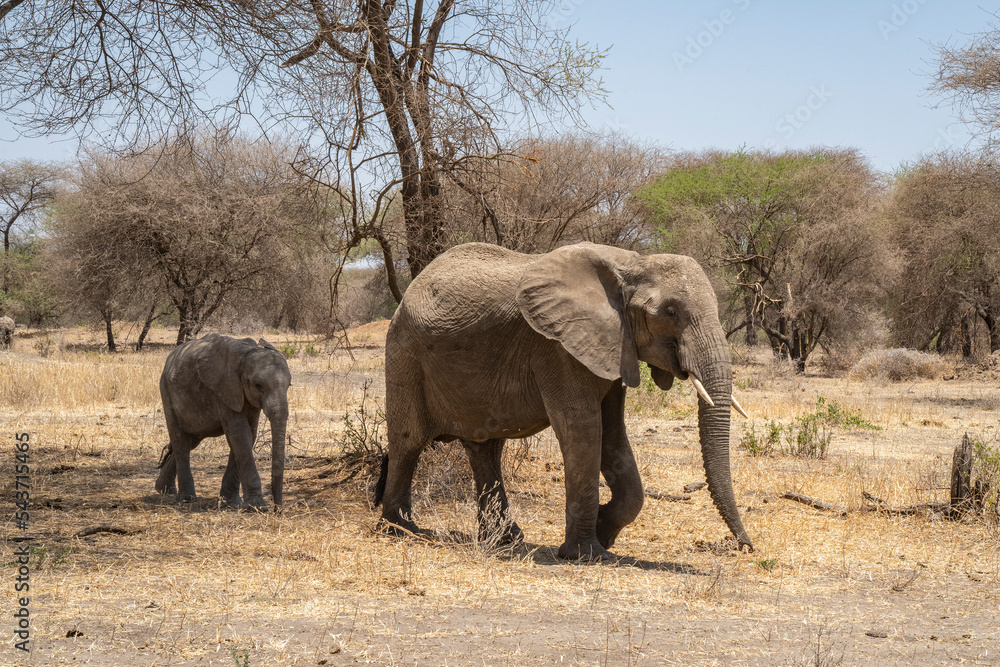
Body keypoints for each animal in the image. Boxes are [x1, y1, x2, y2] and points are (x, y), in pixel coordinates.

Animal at [155, 333, 291, 510]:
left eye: (289, 385)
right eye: (258, 385)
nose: (277, 510)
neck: (246, 355)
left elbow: (249, 434)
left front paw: (231, 503)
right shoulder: (224, 389)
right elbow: (240, 434)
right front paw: (257, 507)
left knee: (191, 441)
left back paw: (164, 490)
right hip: (166, 390)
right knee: (181, 441)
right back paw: (186, 499)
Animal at [373, 241, 752, 560]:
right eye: (670, 311)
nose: (746, 545)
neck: (629, 263)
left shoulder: (614, 346)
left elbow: (613, 434)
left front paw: (603, 530)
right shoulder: (556, 348)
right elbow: (582, 429)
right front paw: (588, 554)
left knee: (485, 448)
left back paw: (505, 539)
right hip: (404, 352)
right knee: (408, 442)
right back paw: (400, 530)